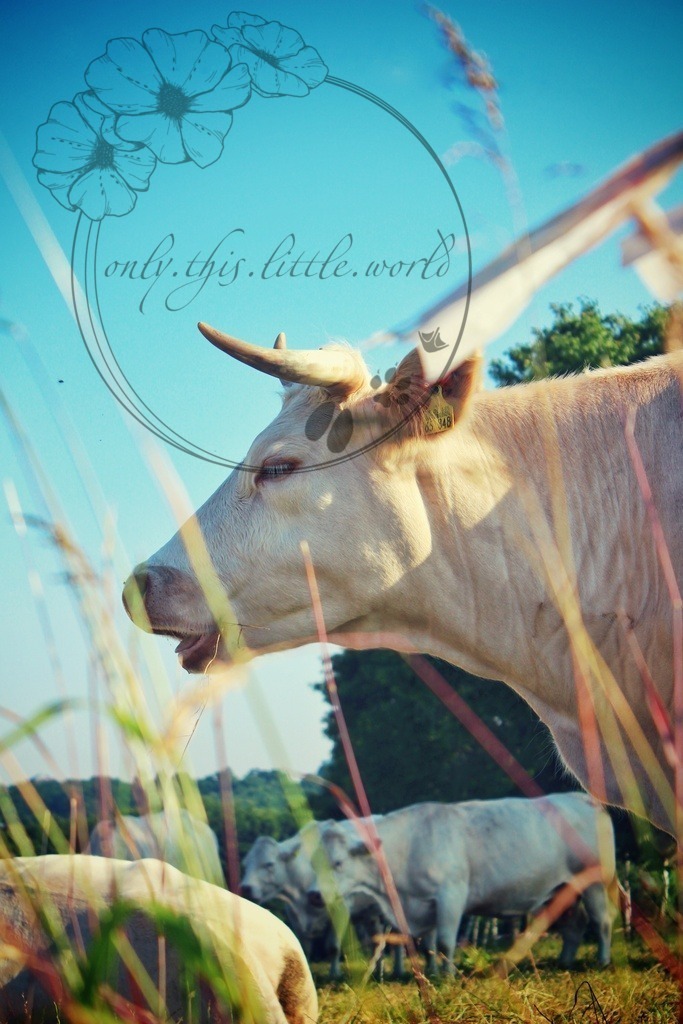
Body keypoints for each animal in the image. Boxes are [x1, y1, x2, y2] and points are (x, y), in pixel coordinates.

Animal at [308, 793, 617, 974]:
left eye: (338, 863)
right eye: (313, 863)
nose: (313, 894)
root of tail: (581, 797)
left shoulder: (451, 895)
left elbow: (445, 942)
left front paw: (448, 977)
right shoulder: (425, 905)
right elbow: (430, 945)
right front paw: (436, 974)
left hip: (594, 881)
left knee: (601, 922)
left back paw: (603, 961)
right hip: (562, 890)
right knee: (574, 925)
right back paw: (565, 962)